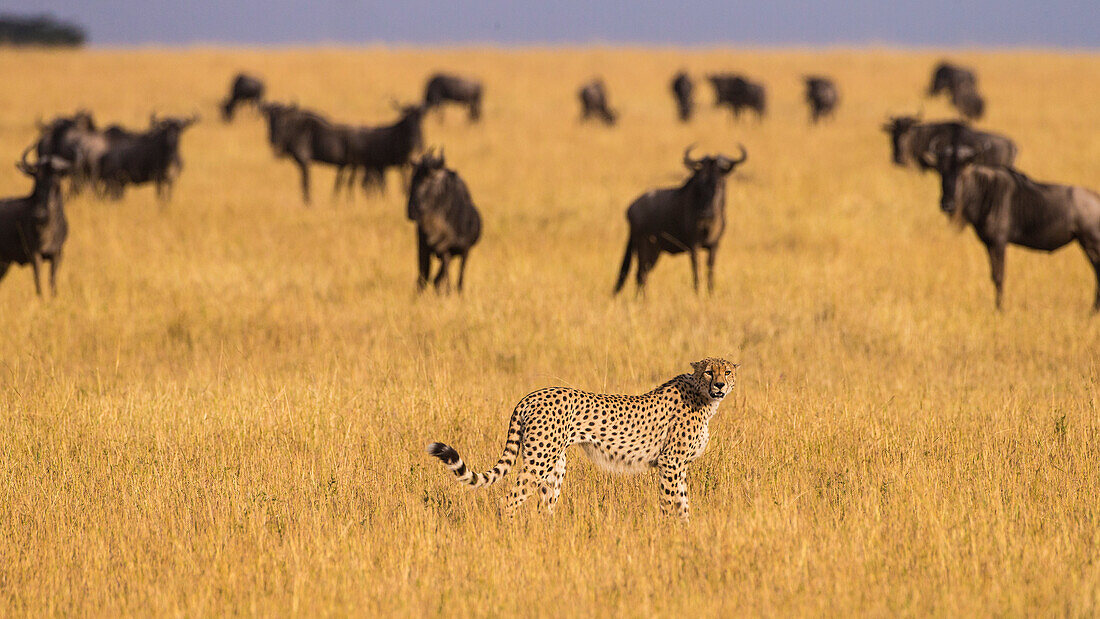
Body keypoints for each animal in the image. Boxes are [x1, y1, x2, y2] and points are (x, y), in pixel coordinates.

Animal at [426, 356, 739, 521]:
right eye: (709, 371)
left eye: (727, 371)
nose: (720, 385)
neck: (703, 397)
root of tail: (531, 395)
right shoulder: (670, 462)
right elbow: (672, 501)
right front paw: (674, 533)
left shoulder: (679, 465)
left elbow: (683, 501)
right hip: (539, 461)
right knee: (509, 500)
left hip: (555, 464)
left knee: (544, 505)